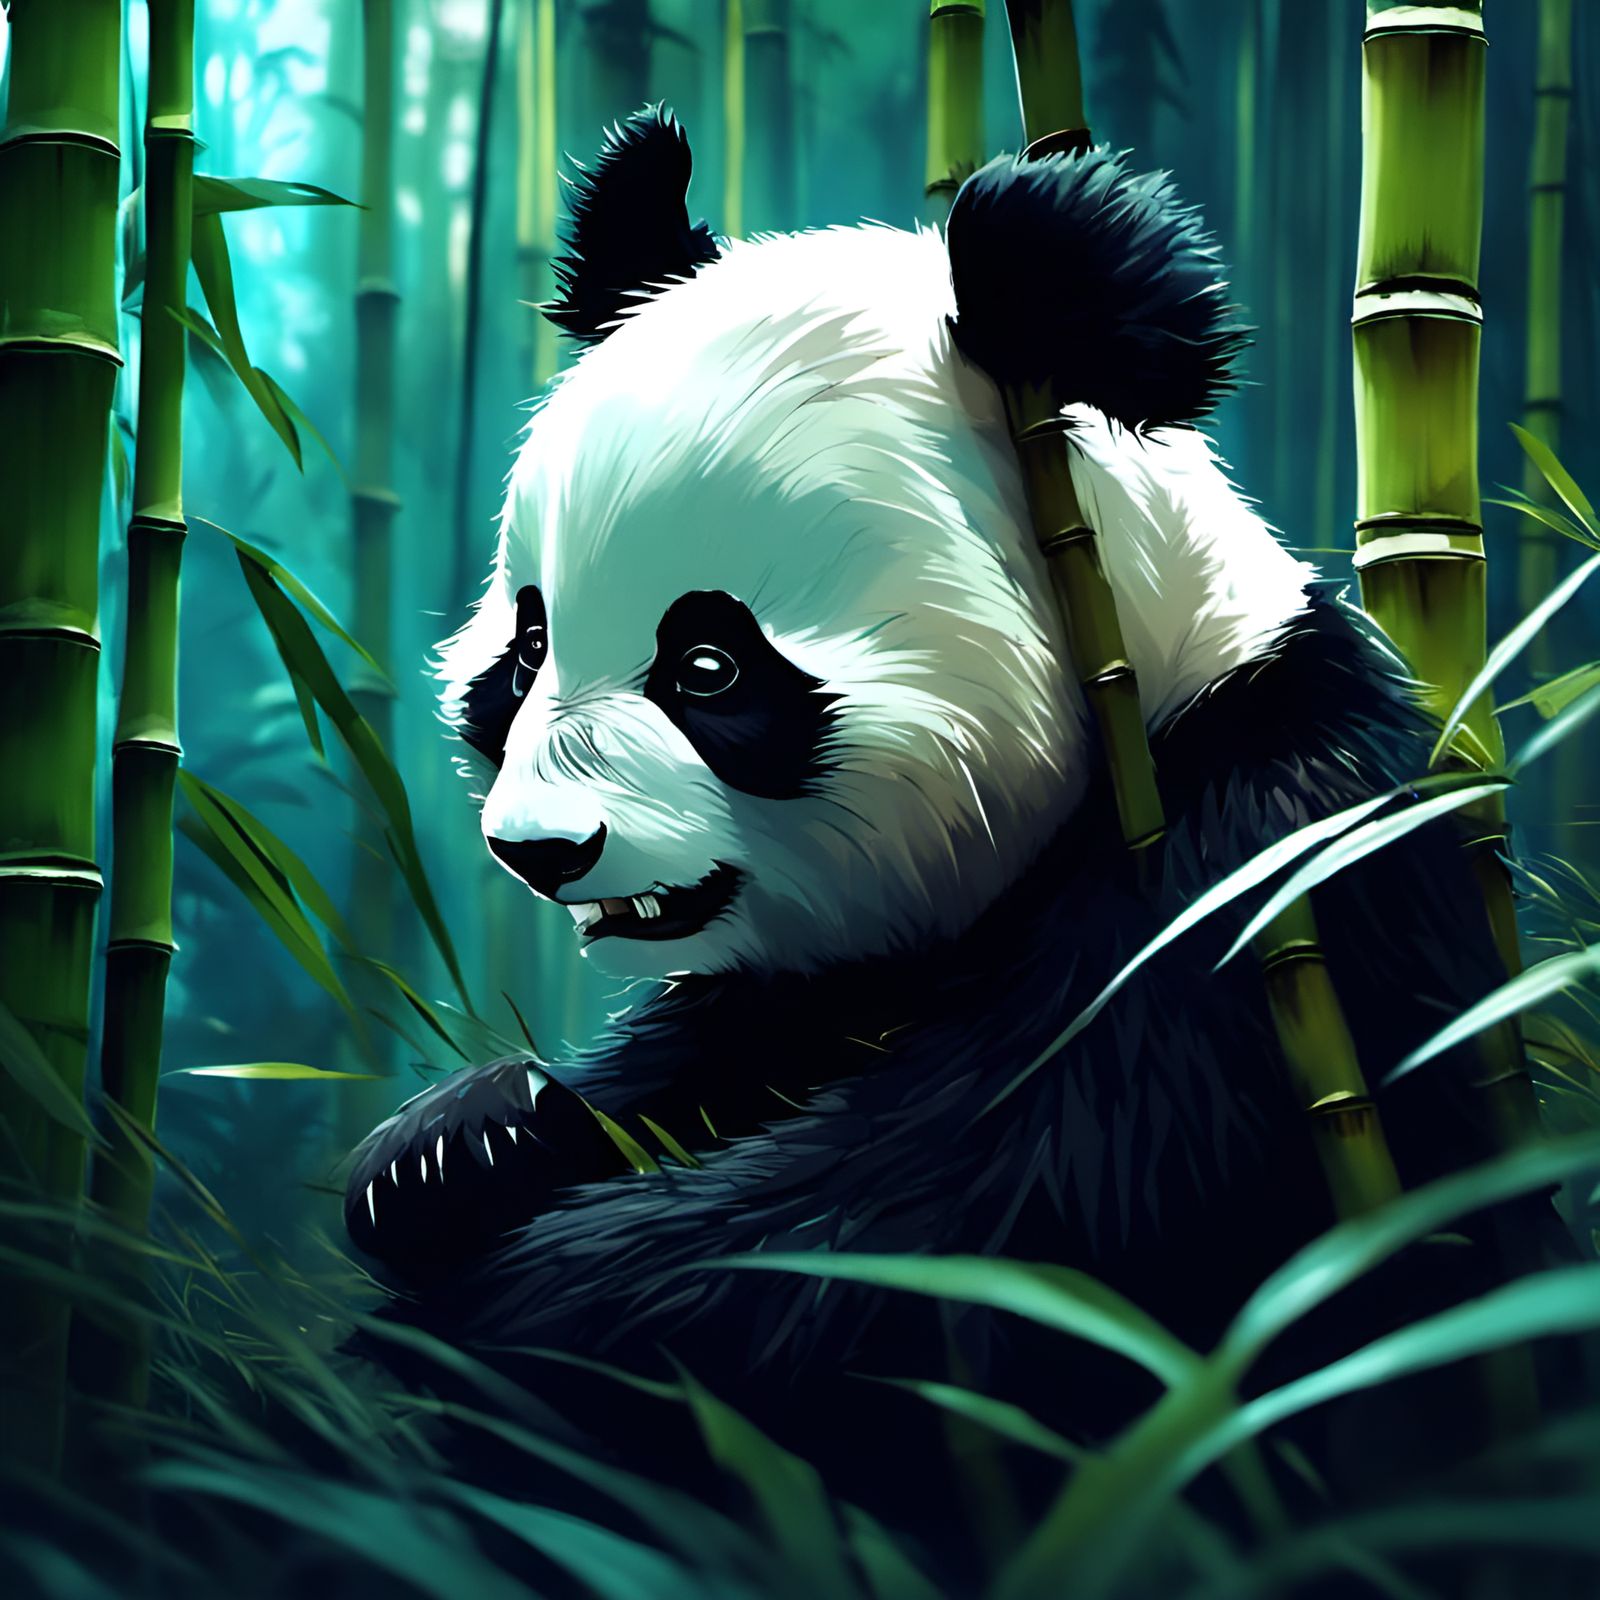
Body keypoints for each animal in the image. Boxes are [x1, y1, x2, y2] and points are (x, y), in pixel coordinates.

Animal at [344, 108, 1533, 1513]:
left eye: (711, 667)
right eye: (526, 648)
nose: (539, 851)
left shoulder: (1266, 892)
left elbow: (985, 1236)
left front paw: (510, 1322)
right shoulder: (803, 987)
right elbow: (693, 1073)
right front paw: (453, 1146)